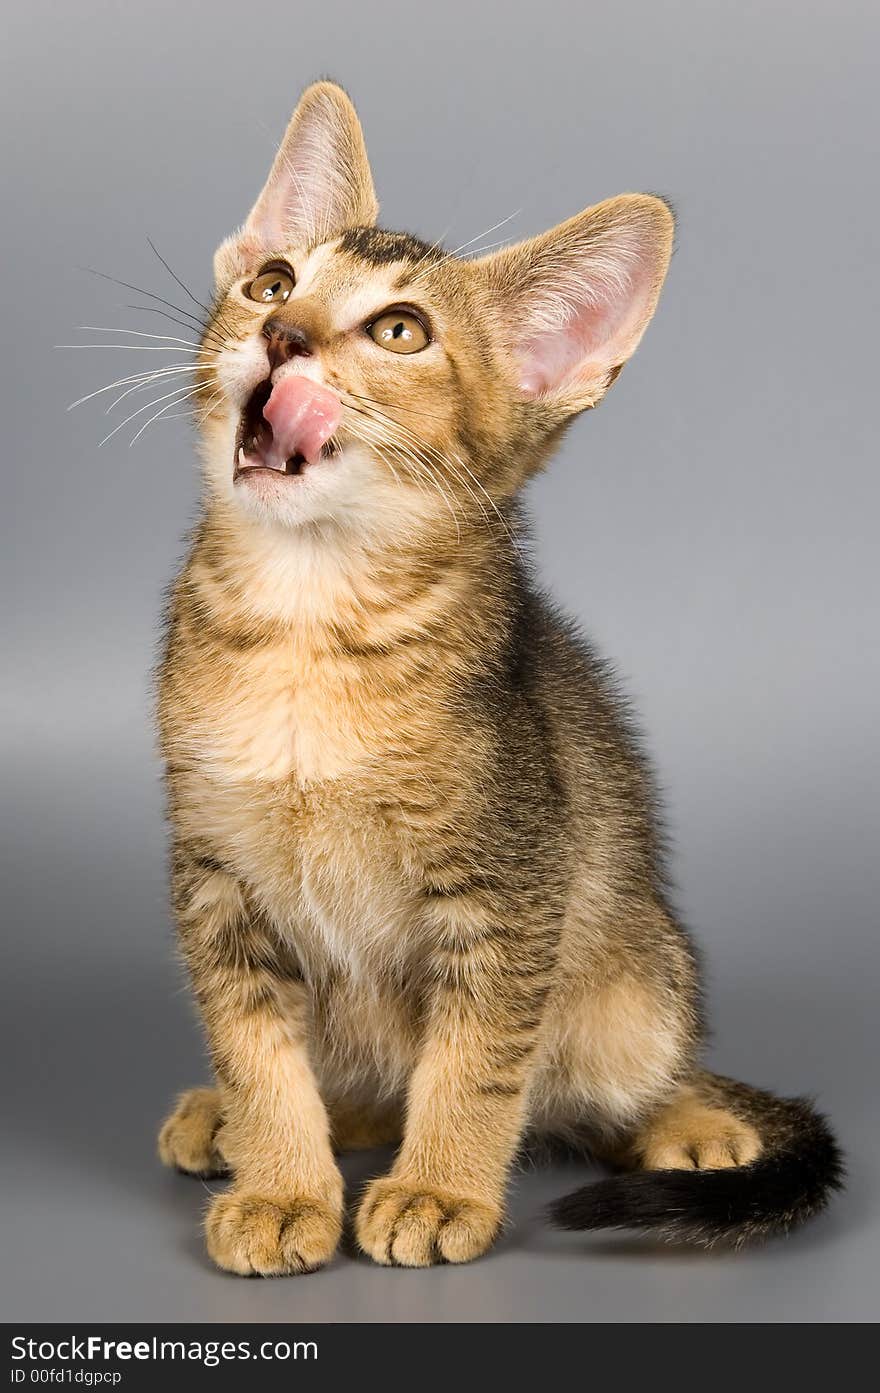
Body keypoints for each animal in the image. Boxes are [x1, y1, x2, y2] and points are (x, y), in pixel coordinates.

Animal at [154, 79, 841, 1275]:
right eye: (273, 280)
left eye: (400, 331)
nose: (281, 333)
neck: (305, 632)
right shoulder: (214, 878)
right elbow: (256, 1047)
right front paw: (281, 1180)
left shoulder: (509, 885)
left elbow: (476, 1061)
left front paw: (439, 1187)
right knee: (365, 1085)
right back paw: (236, 1121)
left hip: (633, 973)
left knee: (615, 1080)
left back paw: (696, 1120)